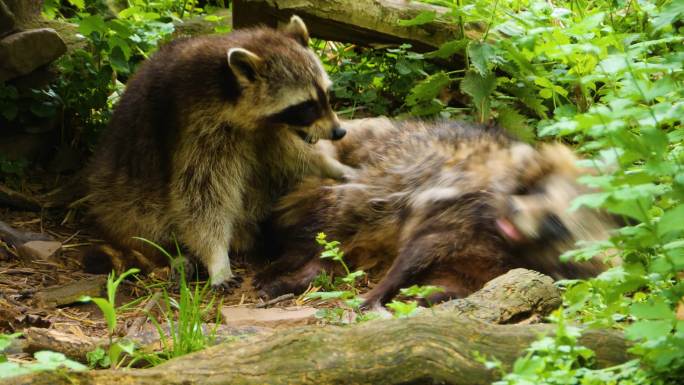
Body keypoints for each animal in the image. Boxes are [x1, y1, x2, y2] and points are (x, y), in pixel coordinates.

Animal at [85, 15, 352, 288]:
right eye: (306, 106)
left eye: (326, 95)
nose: (339, 132)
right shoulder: (198, 127)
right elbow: (200, 196)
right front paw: (216, 257)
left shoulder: (269, 131)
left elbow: (291, 155)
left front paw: (330, 164)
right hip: (121, 200)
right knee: (144, 219)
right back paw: (173, 253)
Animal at [254, 118, 616, 308]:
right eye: (539, 191)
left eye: (556, 222)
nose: (512, 209)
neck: (516, 245)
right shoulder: (460, 212)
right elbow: (417, 250)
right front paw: (377, 293)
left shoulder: (487, 266)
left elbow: (449, 284)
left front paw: (418, 298)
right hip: (342, 182)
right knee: (328, 226)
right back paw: (285, 266)